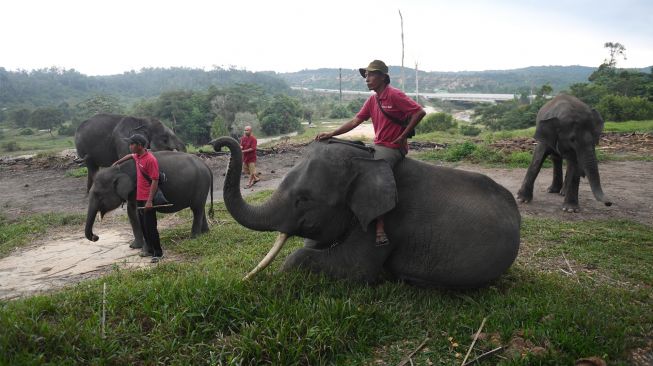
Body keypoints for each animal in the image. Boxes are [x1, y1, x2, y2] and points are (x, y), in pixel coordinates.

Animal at [84, 150, 214, 250]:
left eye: (98, 194)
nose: (96, 237)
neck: (117, 171)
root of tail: (206, 166)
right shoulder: (132, 192)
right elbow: (131, 212)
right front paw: (134, 247)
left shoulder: (138, 187)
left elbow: (138, 213)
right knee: (200, 208)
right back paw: (205, 233)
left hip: (201, 184)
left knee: (196, 209)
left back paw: (194, 237)